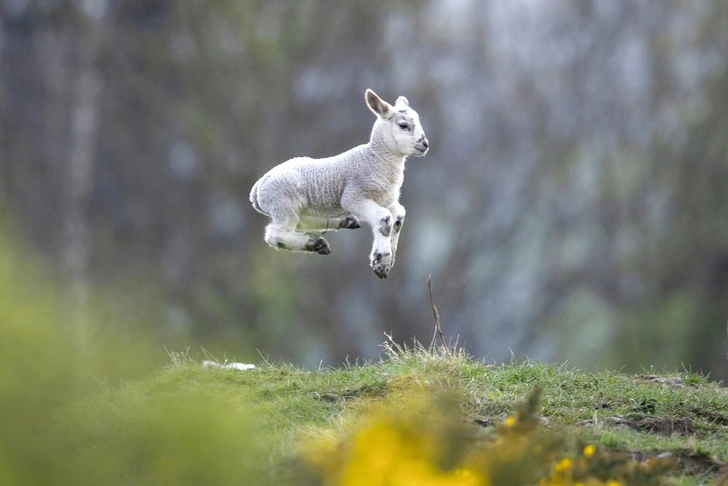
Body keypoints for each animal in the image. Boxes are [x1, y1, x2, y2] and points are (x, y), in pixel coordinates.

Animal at [253, 87, 430, 278]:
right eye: (403, 125)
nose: (425, 144)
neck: (376, 158)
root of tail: (256, 189)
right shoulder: (354, 196)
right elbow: (384, 219)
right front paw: (381, 263)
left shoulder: (385, 199)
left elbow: (398, 217)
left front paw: (389, 258)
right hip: (284, 203)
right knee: (275, 235)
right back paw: (315, 243)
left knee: (303, 223)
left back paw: (341, 225)